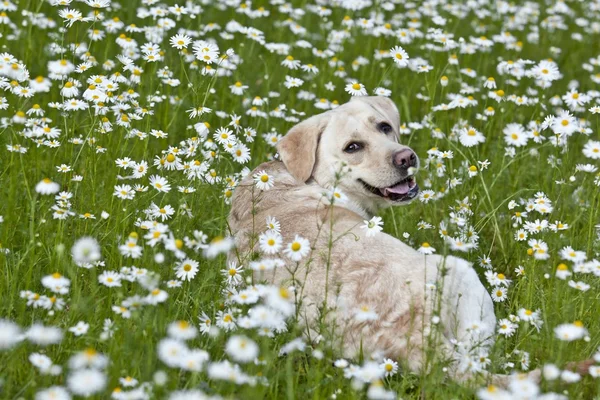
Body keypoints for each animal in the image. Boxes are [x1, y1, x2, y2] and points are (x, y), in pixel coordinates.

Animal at [227, 95, 584, 382]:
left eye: (385, 127)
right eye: (352, 147)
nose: (406, 157)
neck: (311, 179)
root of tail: (420, 341)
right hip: (462, 274)